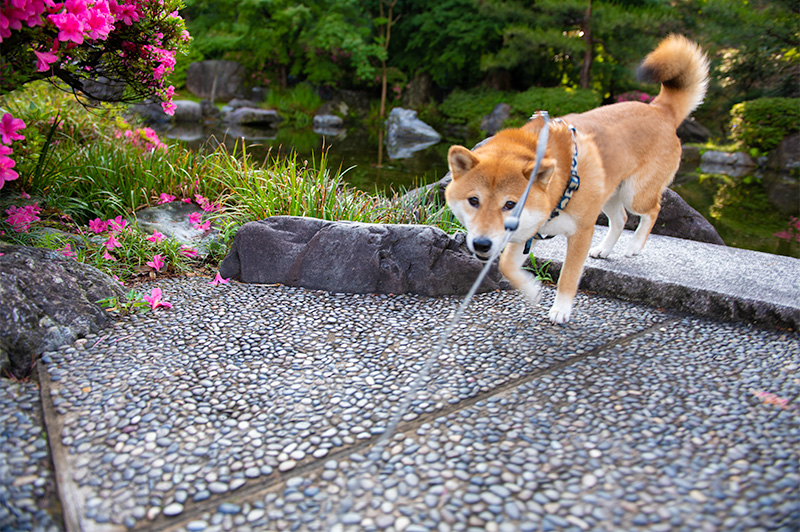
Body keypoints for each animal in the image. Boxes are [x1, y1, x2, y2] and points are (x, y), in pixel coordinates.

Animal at [446, 36, 708, 324]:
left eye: (509, 204)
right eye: (473, 200)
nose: (482, 244)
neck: (558, 189)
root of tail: (660, 110)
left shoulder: (581, 231)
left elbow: (568, 276)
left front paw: (560, 309)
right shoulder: (527, 231)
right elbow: (506, 266)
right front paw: (533, 290)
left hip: (633, 194)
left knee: (652, 210)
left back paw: (635, 245)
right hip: (609, 194)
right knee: (621, 219)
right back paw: (604, 250)